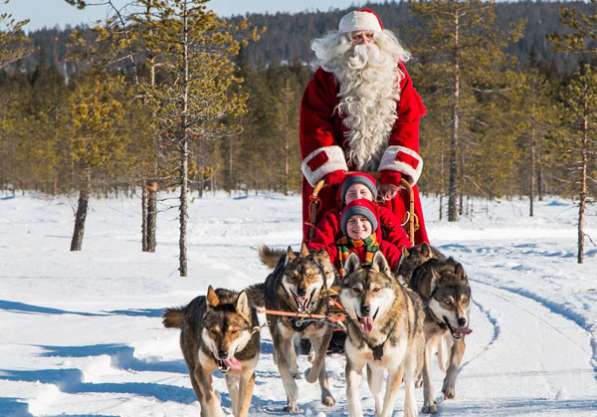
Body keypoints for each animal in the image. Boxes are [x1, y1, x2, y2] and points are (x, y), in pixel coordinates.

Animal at [163, 286, 258, 416]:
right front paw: (218, 410)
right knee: (204, 404)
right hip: (194, 373)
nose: (223, 353)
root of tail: (187, 308)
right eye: (213, 331)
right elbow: (211, 399)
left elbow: (242, 406)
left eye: (234, 331)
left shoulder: (247, 374)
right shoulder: (201, 370)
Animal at [258, 242, 338, 412]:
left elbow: (319, 364)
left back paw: (326, 395)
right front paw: (293, 393)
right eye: (293, 277)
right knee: (289, 358)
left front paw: (312, 377)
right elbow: (284, 368)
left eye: (310, 275)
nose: (302, 291)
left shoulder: (323, 335)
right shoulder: (281, 338)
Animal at [340, 250, 424, 416]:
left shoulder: (396, 368)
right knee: (377, 393)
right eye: (356, 290)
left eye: (376, 289)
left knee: (409, 384)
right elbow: (353, 397)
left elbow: (388, 404)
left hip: (410, 360)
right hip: (374, 371)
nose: (365, 308)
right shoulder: (354, 366)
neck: (374, 336)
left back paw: (410, 409)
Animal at [408, 258, 472, 412]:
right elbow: (428, 378)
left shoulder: (458, 340)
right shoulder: (425, 344)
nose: (462, 321)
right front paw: (429, 404)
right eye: (447, 302)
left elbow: (453, 366)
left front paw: (449, 388)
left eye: (464, 300)